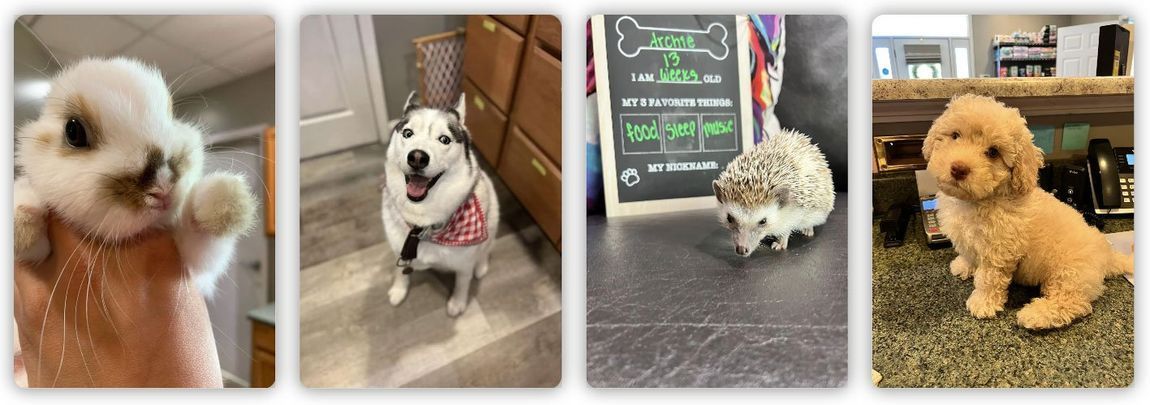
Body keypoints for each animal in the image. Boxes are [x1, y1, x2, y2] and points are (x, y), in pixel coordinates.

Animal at [14, 56, 251, 296]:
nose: (163, 189)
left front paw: (226, 199)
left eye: (172, 116)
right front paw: (22, 224)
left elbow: (203, 244)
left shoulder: (196, 268)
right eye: (73, 131)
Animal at [381, 92, 499, 317]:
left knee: (486, 249)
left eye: (444, 139)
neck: (422, 226)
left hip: (492, 215)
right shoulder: (399, 249)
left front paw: (458, 303)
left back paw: (481, 267)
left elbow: (463, 282)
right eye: (407, 133)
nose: (417, 157)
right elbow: (400, 271)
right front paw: (399, 289)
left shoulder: (464, 263)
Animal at [924, 94, 1131, 329]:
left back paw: (1035, 315)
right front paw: (963, 265)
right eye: (955, 135)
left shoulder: (998, 252)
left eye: (993, 152)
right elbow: (968, 253)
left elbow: (988, 280)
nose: (958, 168)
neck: (980, 200)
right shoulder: (968, 238)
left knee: (1072, 302)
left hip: (1068, 273)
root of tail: (1108, 256)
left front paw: (982, 303)